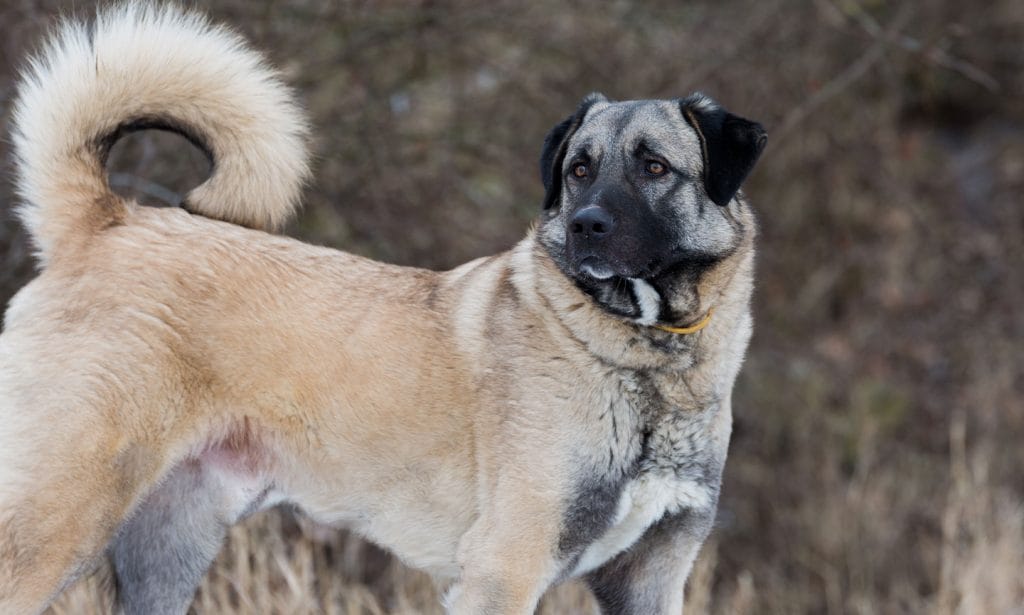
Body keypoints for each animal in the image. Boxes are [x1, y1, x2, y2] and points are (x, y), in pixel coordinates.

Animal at [2, 4, 770, 613]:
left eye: (654, 167)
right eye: (579, 169)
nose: (584, 225)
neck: (647, 362)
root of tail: (107, 222)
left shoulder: (649, 577)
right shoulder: (504, 569)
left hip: (166, 548)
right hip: (56, 521)